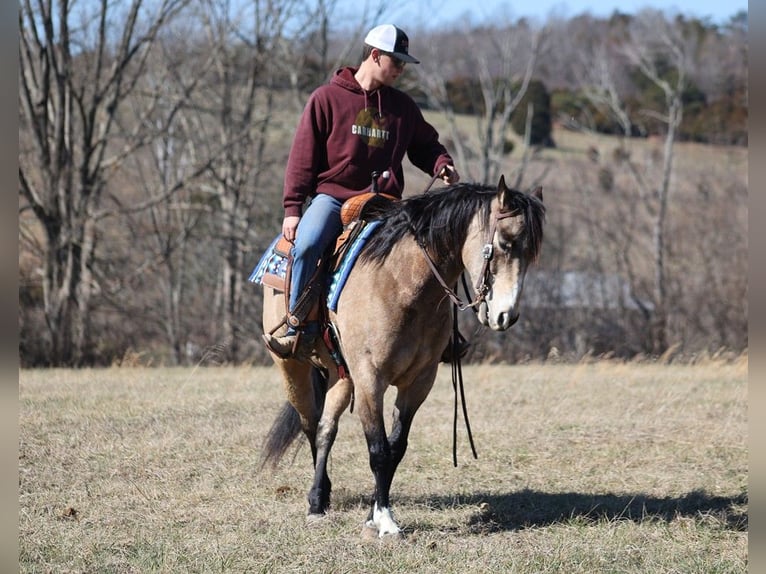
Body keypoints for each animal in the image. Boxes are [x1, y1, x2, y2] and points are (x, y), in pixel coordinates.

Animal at [260, 177, 544, 540]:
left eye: (532, 253)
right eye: (505, 243)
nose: (506, 316)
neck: (401, 283)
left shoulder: (418, 382)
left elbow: (396, 448)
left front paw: (374, 514)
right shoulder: (370, 380)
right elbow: (378, 450)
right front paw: (385, 520)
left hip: (342, 374)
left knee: (325, 429)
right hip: (292, 367)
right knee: (310, 424)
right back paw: (317, 501)